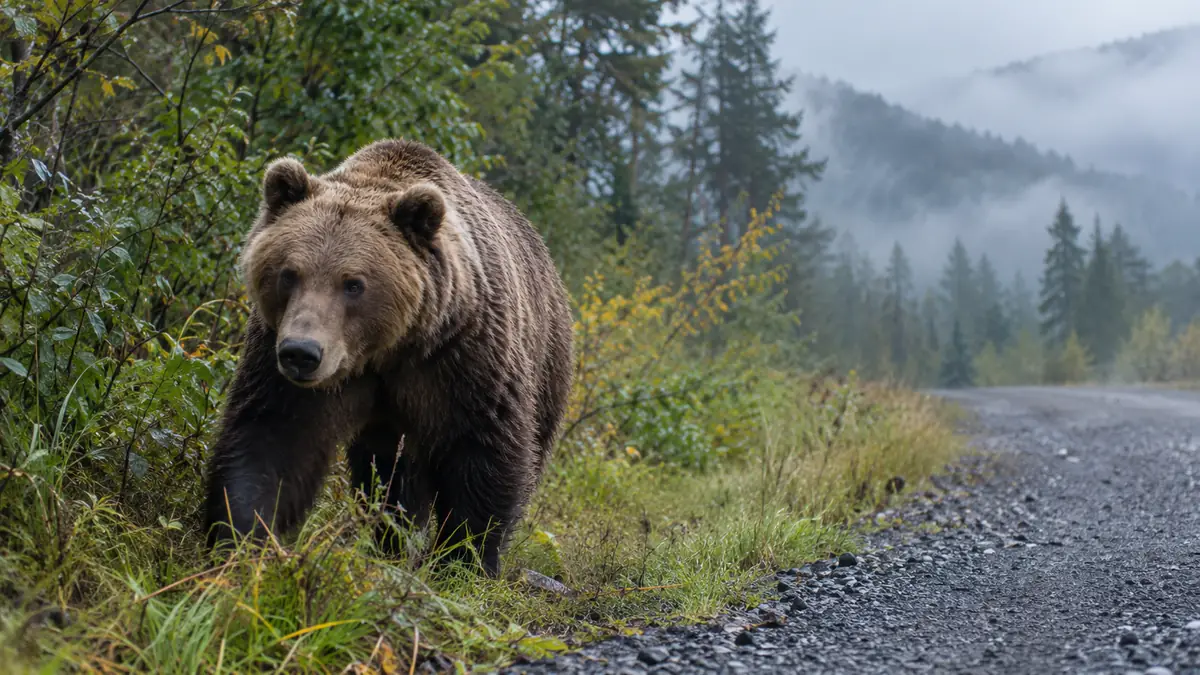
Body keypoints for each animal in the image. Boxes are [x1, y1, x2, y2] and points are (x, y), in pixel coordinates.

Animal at [201, 139, 574, 576]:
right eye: (288, 274)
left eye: (353, 284)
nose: (301, 353)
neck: (386, 350)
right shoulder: (281, 360)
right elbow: (273, 438)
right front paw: (238, 542)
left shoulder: (464, 360)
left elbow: (483, 455)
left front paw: (462, 561)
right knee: (392, 477)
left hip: (546, 367)